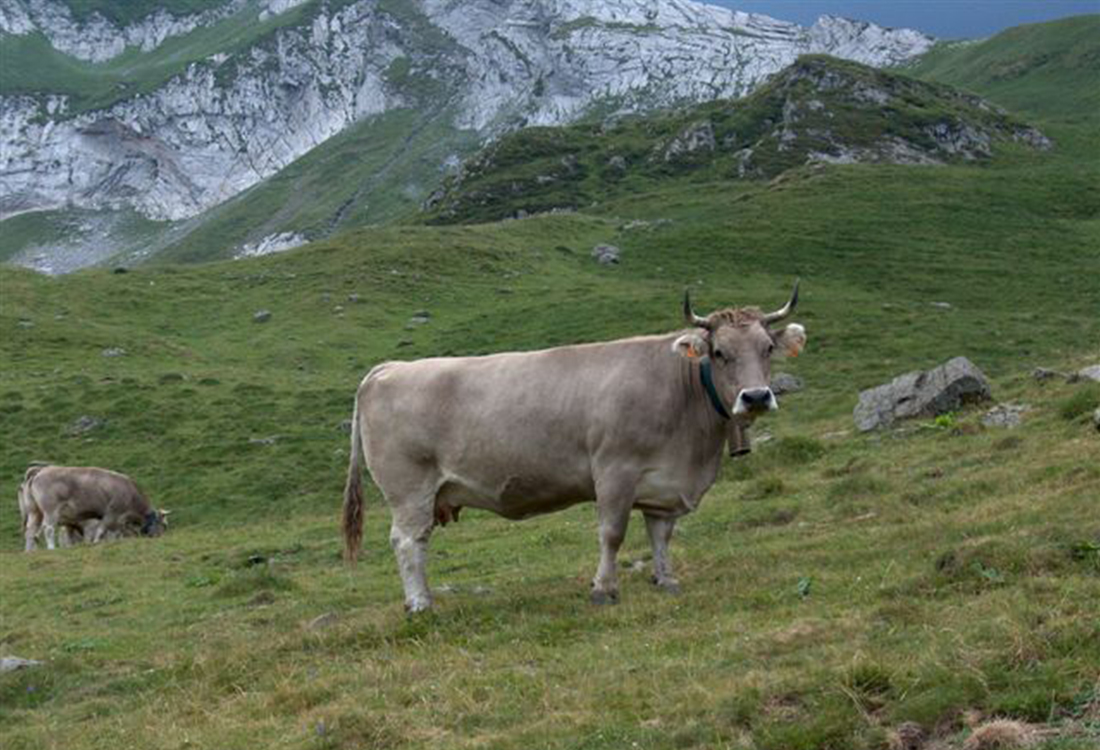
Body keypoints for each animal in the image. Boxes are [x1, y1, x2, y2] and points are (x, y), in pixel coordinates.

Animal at [19, 461, 167, 549]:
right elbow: (101, 530)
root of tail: (41, 470)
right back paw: (51, 548)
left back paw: (30, 551)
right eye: (163, 524)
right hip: (50, 510)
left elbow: (113, 534)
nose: (160, 537)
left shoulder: (117, 521)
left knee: (30, 531)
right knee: (48, 528)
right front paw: (96, 542)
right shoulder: (112, 514)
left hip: (34, 511)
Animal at [338, 283, 805, 611]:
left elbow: (661, 535)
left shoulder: (664, 483)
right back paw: (420, 603)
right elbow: (612, 534)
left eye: (767, 348)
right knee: (408, 541)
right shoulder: (614, 471)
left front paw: (666, 579)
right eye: (720, 352)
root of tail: (388, 368)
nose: (756, 397)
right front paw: (604, 589)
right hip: (409, 489)